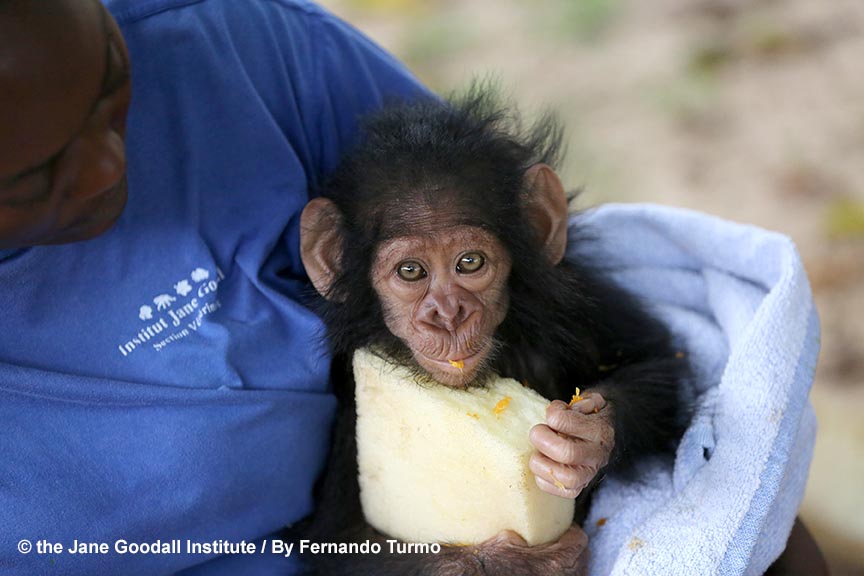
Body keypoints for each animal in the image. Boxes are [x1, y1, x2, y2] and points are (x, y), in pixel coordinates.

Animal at [294, 86, 692, 575]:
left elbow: (655, 362)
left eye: (470, 263)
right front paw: (516, 563)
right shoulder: (346, 404)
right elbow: (338, 540)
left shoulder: (578, 299)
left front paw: (587, 438)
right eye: (411, 271)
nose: (447, 314)